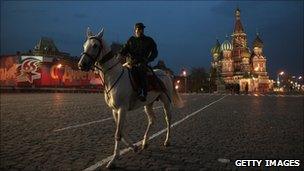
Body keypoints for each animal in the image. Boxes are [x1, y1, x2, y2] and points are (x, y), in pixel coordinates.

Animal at [78, 27, 183, 168]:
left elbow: (118, 134)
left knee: (168, 119)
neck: (113, 77)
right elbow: (121, 132)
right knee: (152, 120)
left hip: (166, 102)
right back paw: (144, 142)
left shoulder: (122, 109)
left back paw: (167, 141)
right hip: (148, 103)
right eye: (84, 45)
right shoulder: (114, 110)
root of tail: (165, 73)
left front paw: (113, 160)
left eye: (95, 45)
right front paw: (134, 147)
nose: (81, 64)